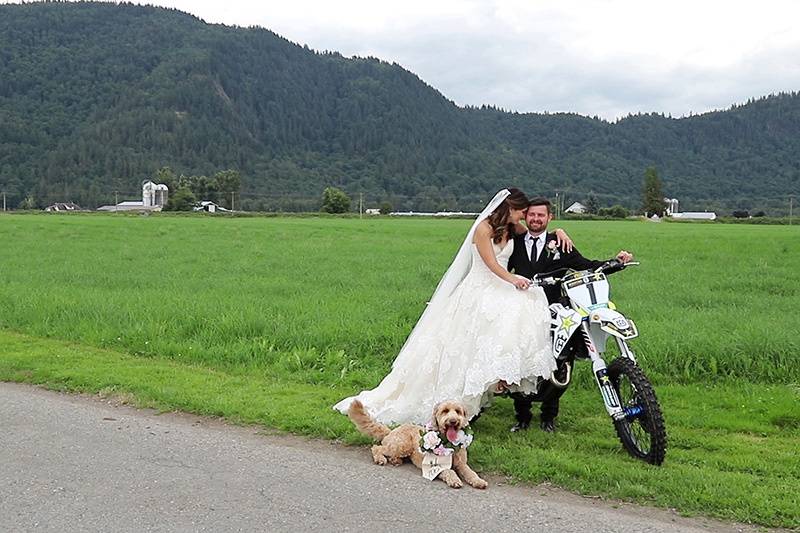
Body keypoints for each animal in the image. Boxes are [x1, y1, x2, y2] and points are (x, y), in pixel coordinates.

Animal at [348, 400, 488, 490]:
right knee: (377, 448)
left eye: (458, 411)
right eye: (445, 411)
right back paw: (381, 459)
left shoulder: (462, 464)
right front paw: (455, 480)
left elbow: (471, 472)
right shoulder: (437, 466)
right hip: (402, 445)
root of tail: (391, 431)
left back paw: (395, 461)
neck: (449, 443)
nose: (453, 421)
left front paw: (479, 481)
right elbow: (449, 471)